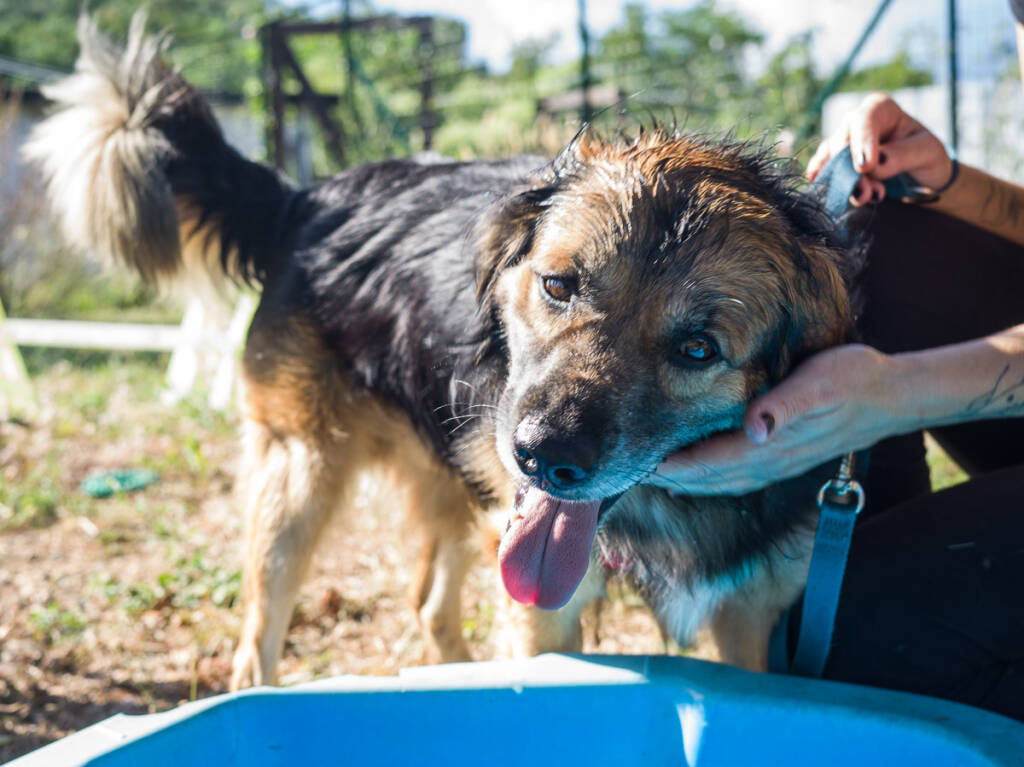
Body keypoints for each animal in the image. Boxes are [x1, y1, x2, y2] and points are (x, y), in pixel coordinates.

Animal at [25, 14, 856, 684]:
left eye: (697, 348)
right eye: (559, 284)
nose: (541, 456)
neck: (671, 506)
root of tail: (310, 198)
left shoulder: (750, 610)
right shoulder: (543, 603)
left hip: (456, 477)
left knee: (427, 605)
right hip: (301, 472)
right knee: (257, 638)